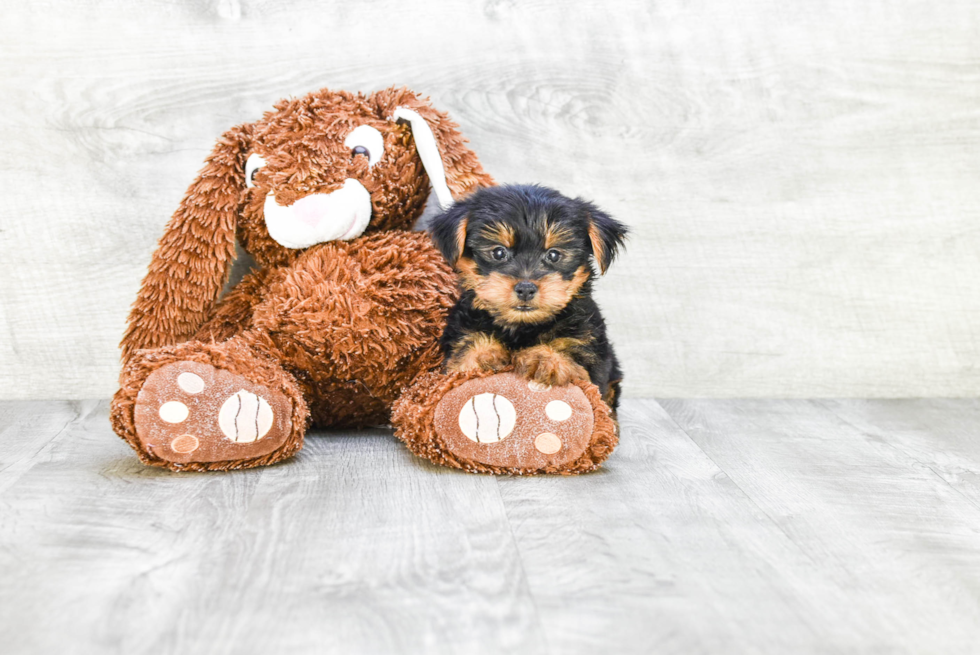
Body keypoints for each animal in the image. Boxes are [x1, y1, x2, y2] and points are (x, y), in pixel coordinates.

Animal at [428, 186, 628, 410]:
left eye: (554, 255)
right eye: (499, 253)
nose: (525, 288)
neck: (523, 325)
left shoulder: (589, 348)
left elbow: (577, 361)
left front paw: (544, 358)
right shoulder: (461, 328)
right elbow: (465, 345)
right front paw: (481, 354)